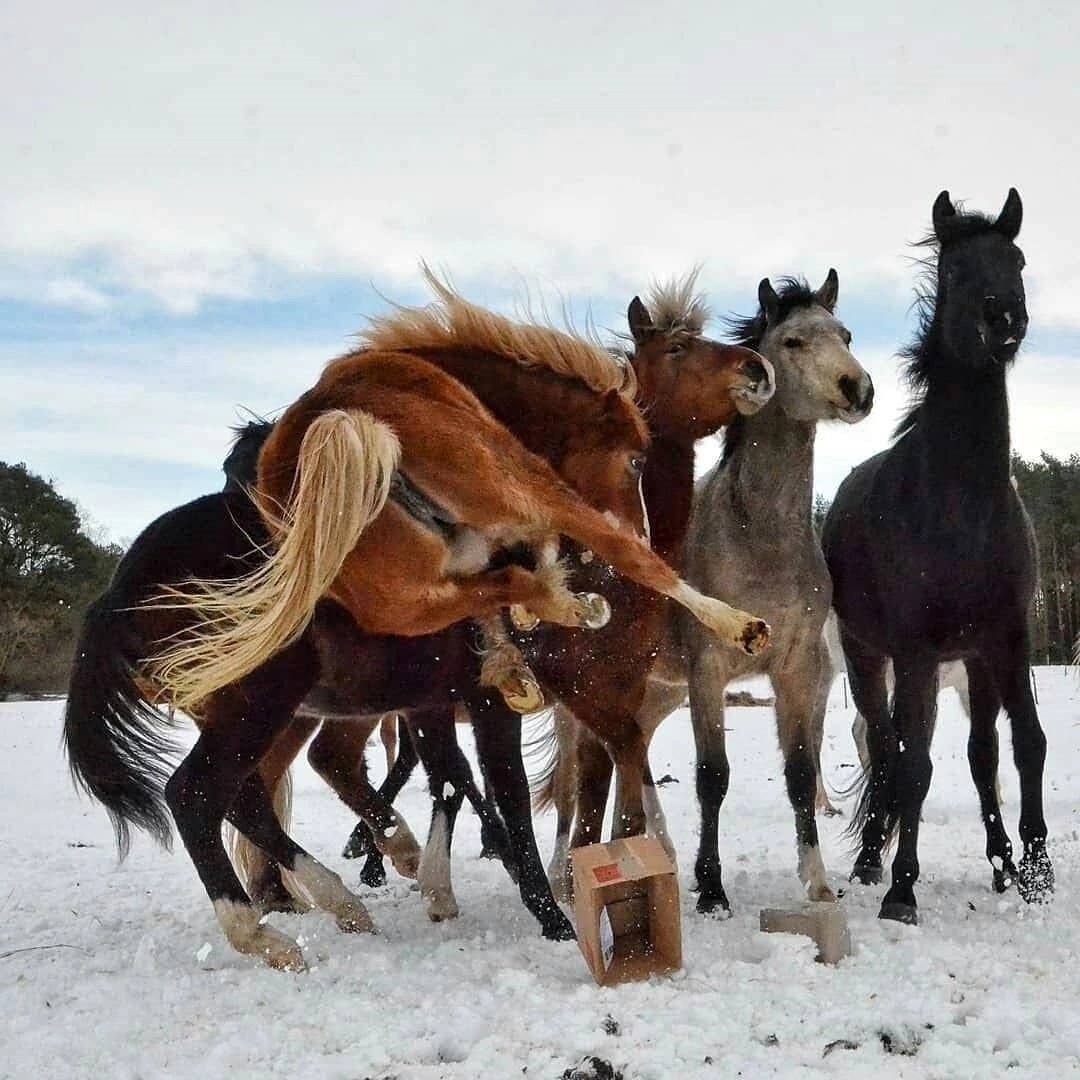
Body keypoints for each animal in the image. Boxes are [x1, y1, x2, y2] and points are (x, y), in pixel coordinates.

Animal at [821, 188, 1053, 924]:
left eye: (1017, 259)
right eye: (955, 269)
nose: (1005, 319)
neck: (962, 507)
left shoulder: (1008, 638)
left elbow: (1025, 744)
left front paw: (1035, 873)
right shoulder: (917, 652)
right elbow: (915, 762)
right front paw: (902, 888)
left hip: (970, 663)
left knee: (980, 753)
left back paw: (1001, 861)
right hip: (869, 659)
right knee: (885, 747)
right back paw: (871, 861)